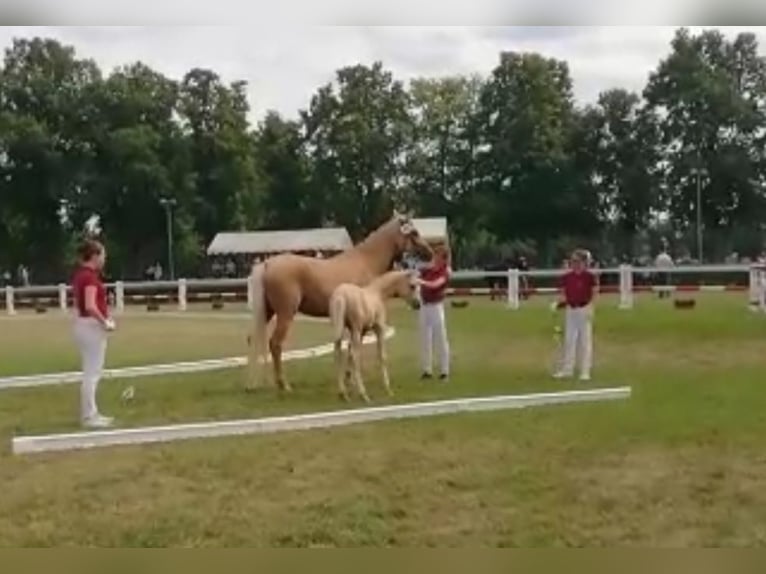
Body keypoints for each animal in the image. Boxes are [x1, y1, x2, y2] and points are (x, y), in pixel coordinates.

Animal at [329, 270, 420, 403]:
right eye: (412, 286)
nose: (418, 304)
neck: (378, 294)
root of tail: (340, 295)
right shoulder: (379, 329)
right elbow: (382, 356)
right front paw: (388, 388)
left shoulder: (361, 332)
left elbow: (349, 353)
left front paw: (351, 383)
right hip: (355, 329)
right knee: (355, 356)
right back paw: (363, 394)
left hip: (341, 329)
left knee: (338, 354)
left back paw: (343, 393)